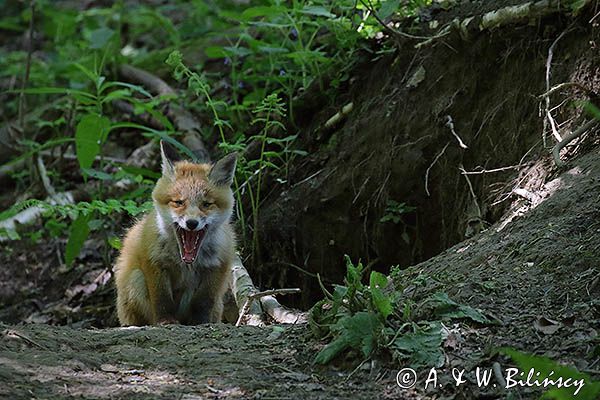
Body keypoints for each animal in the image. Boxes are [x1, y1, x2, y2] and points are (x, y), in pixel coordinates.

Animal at [112, 141, 237, 324]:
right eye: (179, 202)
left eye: (206, 204)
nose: (191, 223)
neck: (186, 263)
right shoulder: (154, 262)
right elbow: (162, 300)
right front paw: (165, 320)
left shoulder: (217, 266)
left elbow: (204, 302)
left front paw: (201, 322)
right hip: (135, 279)